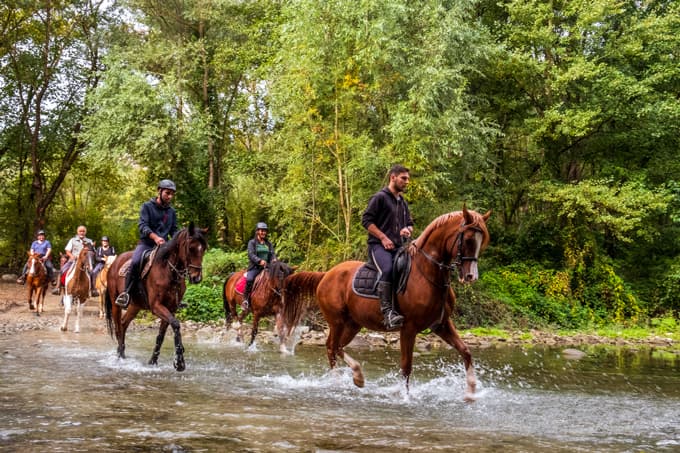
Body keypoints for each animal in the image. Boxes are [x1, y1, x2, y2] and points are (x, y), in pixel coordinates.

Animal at [105, 224, 208, 371]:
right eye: (190, 248)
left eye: (203, 248)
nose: (196, 278)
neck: (168, 271)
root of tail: (114, 263)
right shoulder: (156, 306)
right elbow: (176, 324)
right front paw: (179, 361)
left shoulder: (171, 308)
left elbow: (162, 335)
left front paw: (153, 361)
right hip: (115, 305)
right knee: (118, 327)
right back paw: (120, 357)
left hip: (135, 305)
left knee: (124, 324)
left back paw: (122, 354)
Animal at [282, 206, 491, 401]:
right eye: (468, 239)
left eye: (481, 241)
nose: (471, 276)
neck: (428, 274)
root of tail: (326, 275)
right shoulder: (408, 328)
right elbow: (406, 366)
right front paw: (405, 397)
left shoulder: (441, 324)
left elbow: (466, 351)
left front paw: (471, 392)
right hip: (337, 321)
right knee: (331, 347)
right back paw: (338, 382)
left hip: (352, 324)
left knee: (338, 347)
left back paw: (358, 377)